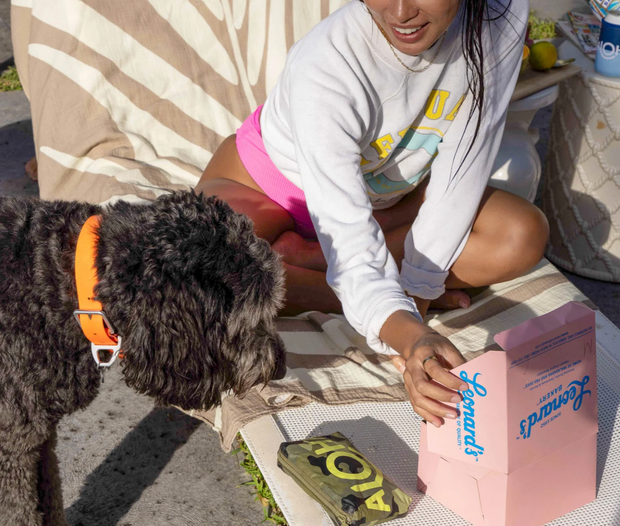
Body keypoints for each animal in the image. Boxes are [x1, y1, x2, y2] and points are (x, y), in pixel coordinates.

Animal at [0, 192, 286, 524]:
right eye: (256, 315)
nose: (281, 368)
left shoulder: (38, 436)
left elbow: (51, 498)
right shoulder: (13, 445)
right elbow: (20, 512)